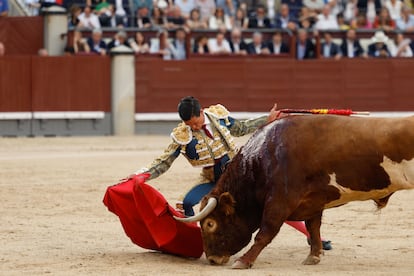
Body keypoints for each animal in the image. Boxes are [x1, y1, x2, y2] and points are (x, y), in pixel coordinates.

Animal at [175, 114, 414, 270]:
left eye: (210, 224)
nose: (212, 259)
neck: (262, 158)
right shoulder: (312, 203)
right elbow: (313, 227)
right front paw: (314, 257)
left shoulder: (279, 201)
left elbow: (265, 232)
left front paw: (243, 261)